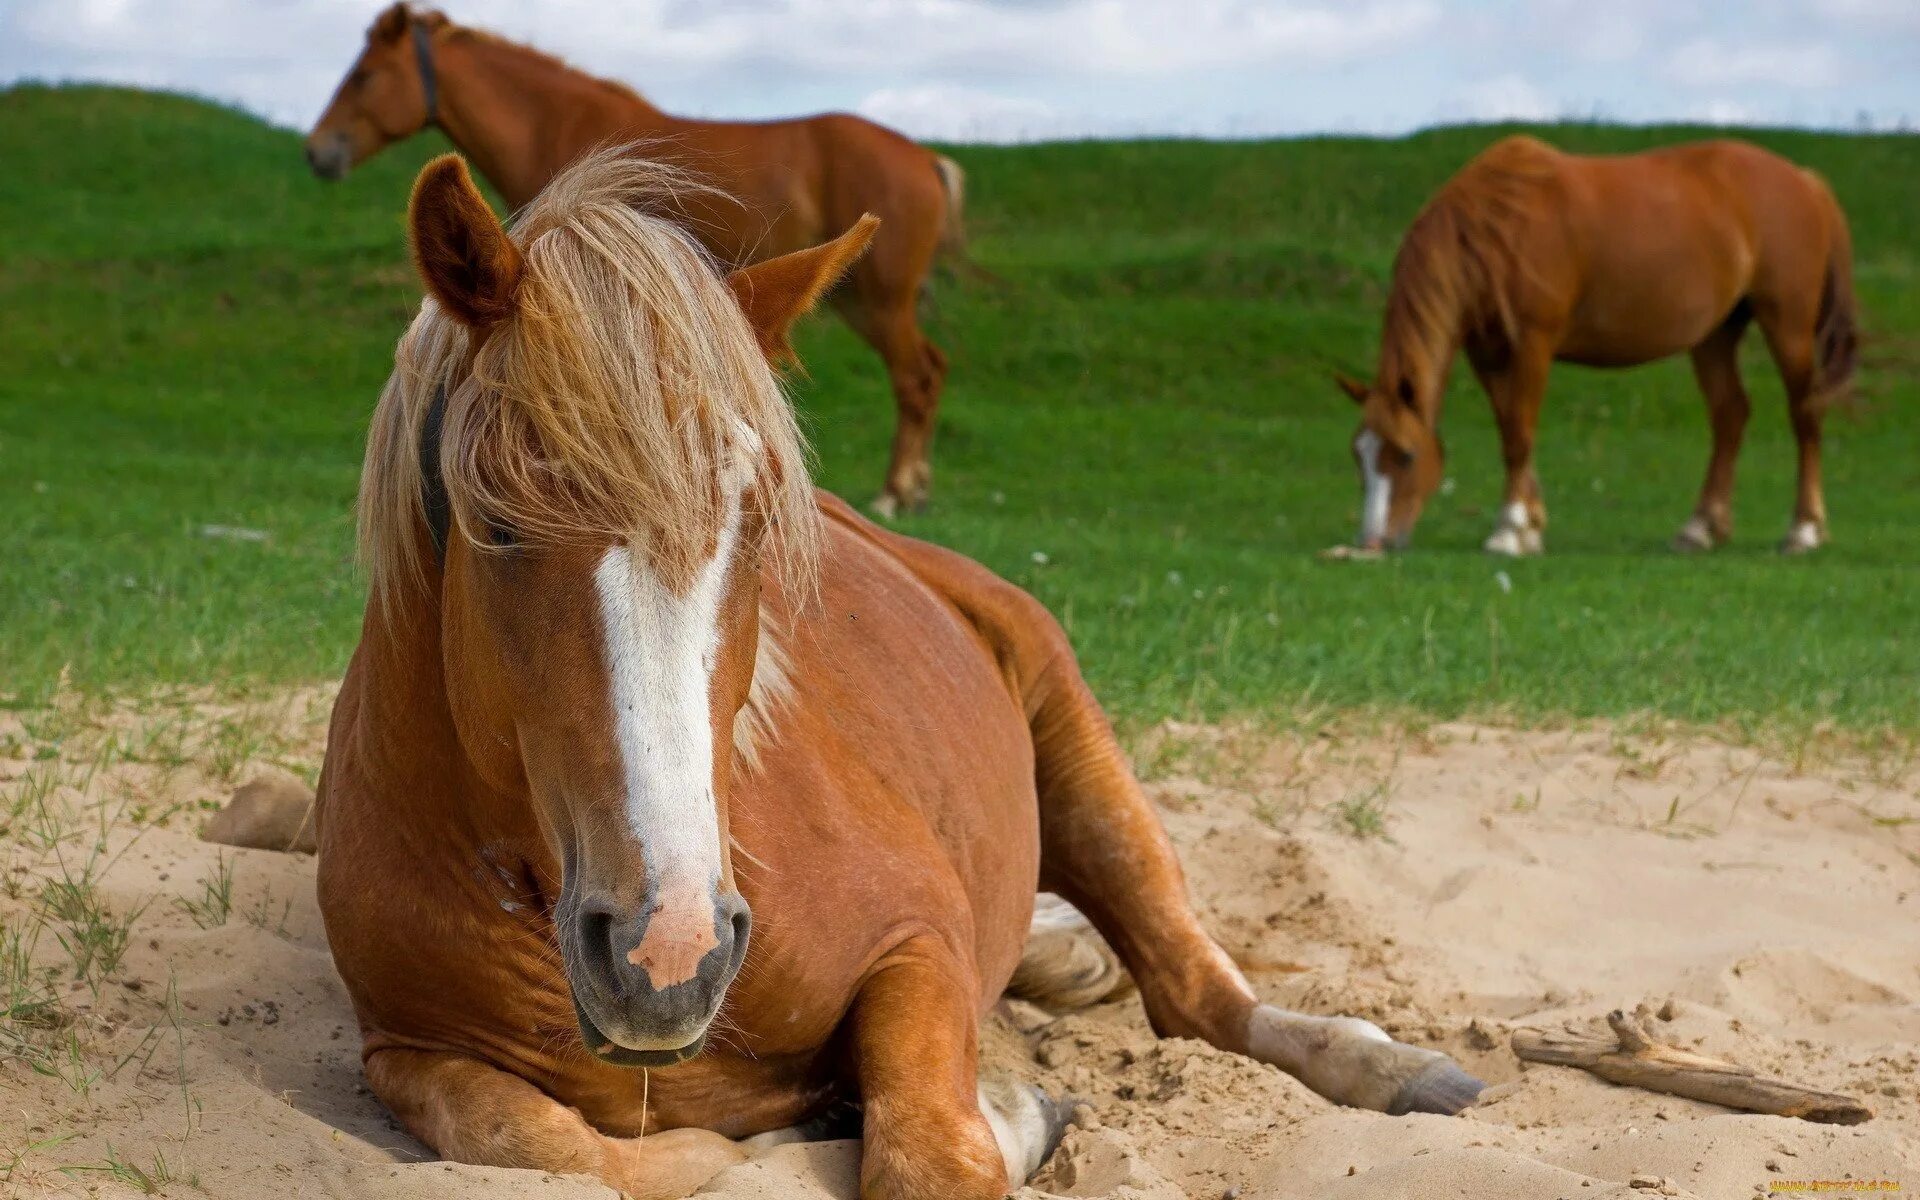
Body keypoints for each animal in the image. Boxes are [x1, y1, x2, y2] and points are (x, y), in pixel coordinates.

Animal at [309, 4, 967, 518]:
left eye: (364, 76)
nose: (318, 151)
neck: (557, 125)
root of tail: (925, 158)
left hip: (880, 301)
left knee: (916, 377)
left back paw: (895, 493)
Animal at [318, 149, 1482, 1198]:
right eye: (498, 524)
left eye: (755, 526)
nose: (670, 952)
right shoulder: (404, 1052)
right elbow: (562, 1145)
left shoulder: (915, 941)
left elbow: (932, 1152)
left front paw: (998, 1111)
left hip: (1080, 755)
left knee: (1200, 996)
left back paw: (1392, 1066)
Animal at [1336, 137, 1858, 556]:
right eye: (1358, 456)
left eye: (1406, 455)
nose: (1372, 541)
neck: (1497, 228)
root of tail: (1806, 182)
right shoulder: (1486, 352)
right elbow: (1509, 429)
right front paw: (1531, 523)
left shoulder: (1533, 344)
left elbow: (1518, 433)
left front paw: (1510, 530)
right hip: (1715, 334)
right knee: (1730, 415)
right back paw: (1701, 528)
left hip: (1788, 324)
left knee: (1805, 414)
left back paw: (1804, 530)